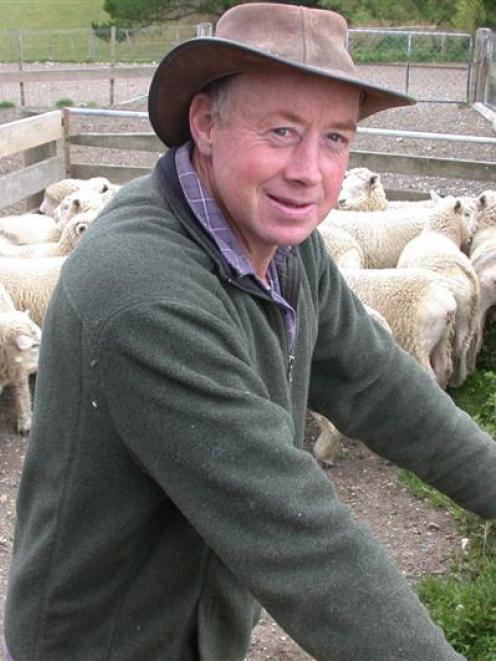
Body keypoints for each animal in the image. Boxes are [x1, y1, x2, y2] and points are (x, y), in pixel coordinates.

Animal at [397, 196, 479, 387]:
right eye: (467, 213)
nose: (476, 227)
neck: (439, 232)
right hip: (466, 316)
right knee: (462, 347)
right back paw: (458, 380)